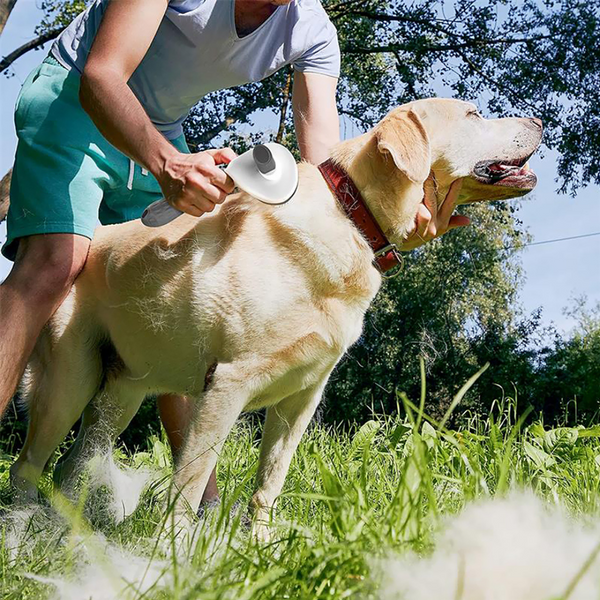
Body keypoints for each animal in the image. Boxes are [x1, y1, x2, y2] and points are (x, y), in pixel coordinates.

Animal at [10, 98, 544, 536]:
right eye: (474, 115)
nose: (539, 120)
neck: (352, 215)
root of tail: (91, 242)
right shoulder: (226, 385)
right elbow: (190, 483)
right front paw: (174, 555)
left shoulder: (301, 398)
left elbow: (269, 484)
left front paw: (261, 547)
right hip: (69, 383)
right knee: (28, 466)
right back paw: (24, 538)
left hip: (119, 397)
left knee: (71, 470)